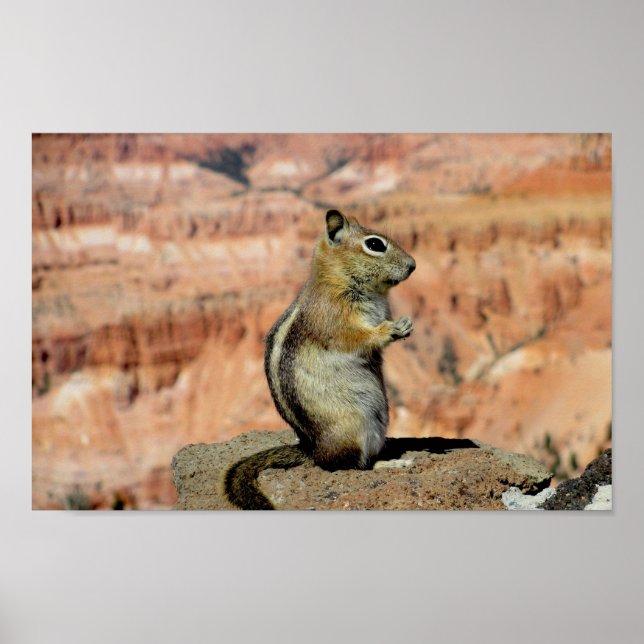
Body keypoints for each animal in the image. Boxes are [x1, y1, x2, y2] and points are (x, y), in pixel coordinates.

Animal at [223, 209, 416, 509]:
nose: (413, 266)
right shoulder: (335, 319)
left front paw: (405, 325)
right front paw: (390, 329)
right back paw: (391, 464)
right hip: (354, 428)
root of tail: (312, 449)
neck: (338, 278)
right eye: (375, 244)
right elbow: (356, 338)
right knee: (346, 466)